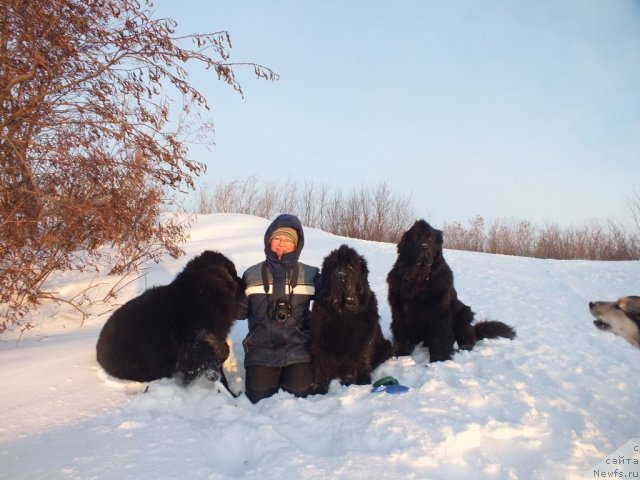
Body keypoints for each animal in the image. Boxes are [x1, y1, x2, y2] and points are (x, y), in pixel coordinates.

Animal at [96, 249, 244, 392]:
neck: (202, 291)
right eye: (234, 272)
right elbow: (218, 352)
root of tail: (99, 347)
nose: (243, 280)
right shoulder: (192, 338)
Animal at [308, 246, 392, 392]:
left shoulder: (358, 344)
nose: (340, 276)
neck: (343, 313)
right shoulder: (320, 341)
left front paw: (349, 384)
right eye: (334, 266)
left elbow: (352, 367)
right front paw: (318, 389)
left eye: (350, 267)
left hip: (385, 346)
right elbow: (321, 366)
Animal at [384, 221, 516, 364]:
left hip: (463, 315)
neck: (419, 277)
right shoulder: (399, 309)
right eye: (415, 238)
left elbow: (439, 337)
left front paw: (438, 361)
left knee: (468, 338)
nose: (424, 247)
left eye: (430, 239)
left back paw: (465, 347)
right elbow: (402, 333)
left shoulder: (439, 311)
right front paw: (401, 355)